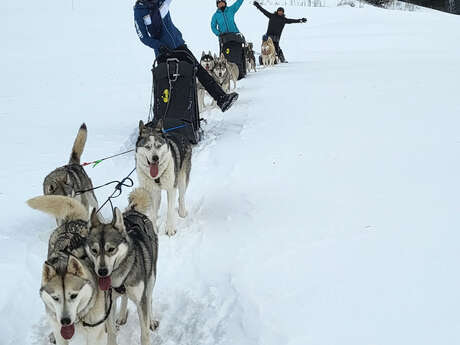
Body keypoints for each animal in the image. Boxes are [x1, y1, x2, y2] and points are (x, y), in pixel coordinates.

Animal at [28, 195, 109, 344]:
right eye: (55, 298)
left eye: (73, 296)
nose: (65, 321)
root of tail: (72, 220)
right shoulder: (60, 332)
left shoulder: (96, 335)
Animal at [85, 188, 159, 344]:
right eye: (94, 250)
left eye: (111, 249)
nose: (102, 271)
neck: (119, 278)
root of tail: (134, 212)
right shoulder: (109, 302)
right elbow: (112, 332)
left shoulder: (141, 300)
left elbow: (144, 333)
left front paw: (147, 327)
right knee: (124, 297)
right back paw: (122, 315)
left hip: (151, 278)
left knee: (149, 298)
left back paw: (151, 320)